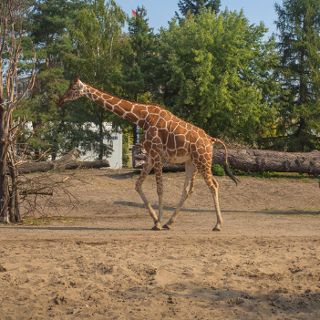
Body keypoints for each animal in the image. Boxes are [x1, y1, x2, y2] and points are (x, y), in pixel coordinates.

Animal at [57, 76, 239, 231]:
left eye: (73, 88)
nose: (60, 100)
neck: (142, 117)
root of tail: (211, 139)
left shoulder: (157, 154)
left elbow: (160, 188)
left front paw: (157, 222)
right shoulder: (150, 155)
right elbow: (138, 184)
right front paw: (155, 221)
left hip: (203, 160)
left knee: (213, 185)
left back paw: (217, 225)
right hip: (191, 162)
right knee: (188, 189)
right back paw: (169, 223)